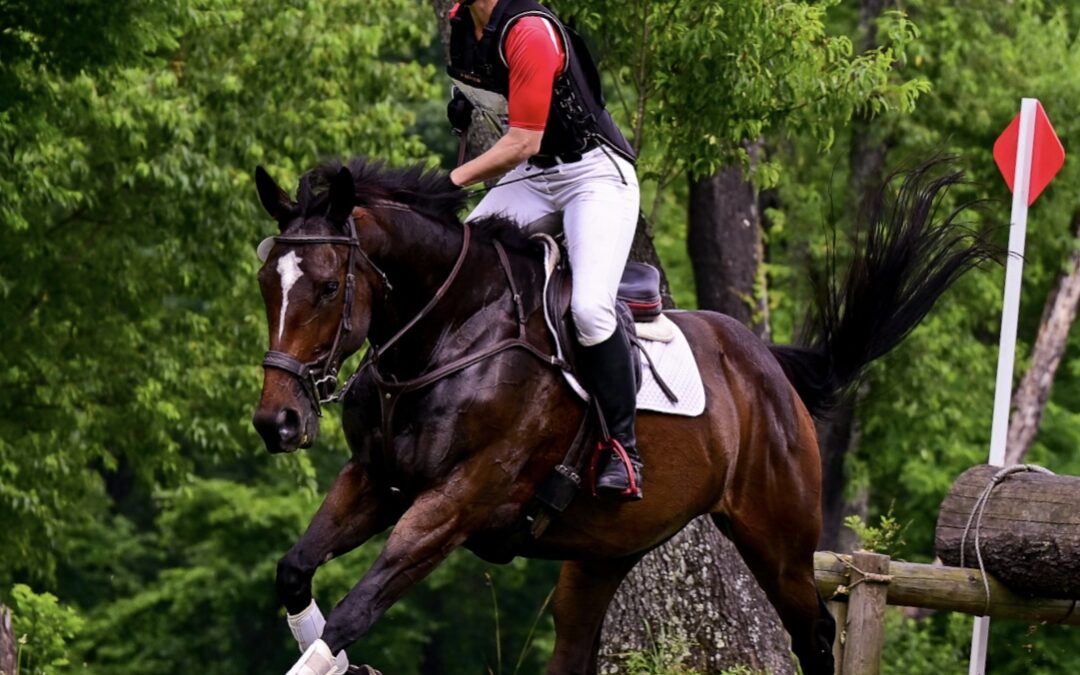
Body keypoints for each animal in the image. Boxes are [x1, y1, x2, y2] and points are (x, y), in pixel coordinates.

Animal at [251, 158, 993, 675]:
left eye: (327, 286)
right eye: (266, 284)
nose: (276, 423)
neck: (449, 334)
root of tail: (770, 364)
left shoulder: (456, 502)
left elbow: (354, 612)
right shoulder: (377, 482)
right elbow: (295, 571)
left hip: (778, 538)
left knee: (812, 635)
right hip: (602, 553)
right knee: (576, 647)